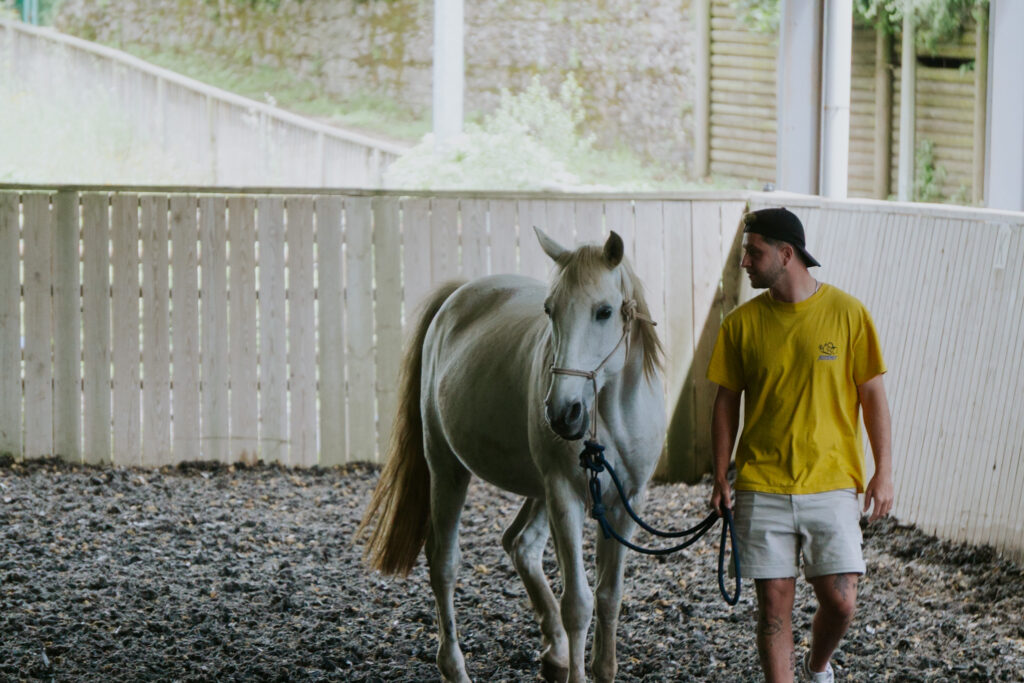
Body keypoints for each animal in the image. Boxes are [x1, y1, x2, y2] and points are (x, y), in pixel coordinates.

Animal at [358, 227, 665, 683]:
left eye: (605, 311)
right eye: (550, 310)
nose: (563, 412)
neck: (610, 410)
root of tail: (456, 298)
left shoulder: (628, 501)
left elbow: (609, 595)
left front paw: (601, 668)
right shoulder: (564, 496)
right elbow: (579, 603)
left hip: (537, 492)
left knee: (520, 544)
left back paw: (554, 652)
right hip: (448, 469)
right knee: (444, 562)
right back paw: (455, 667)